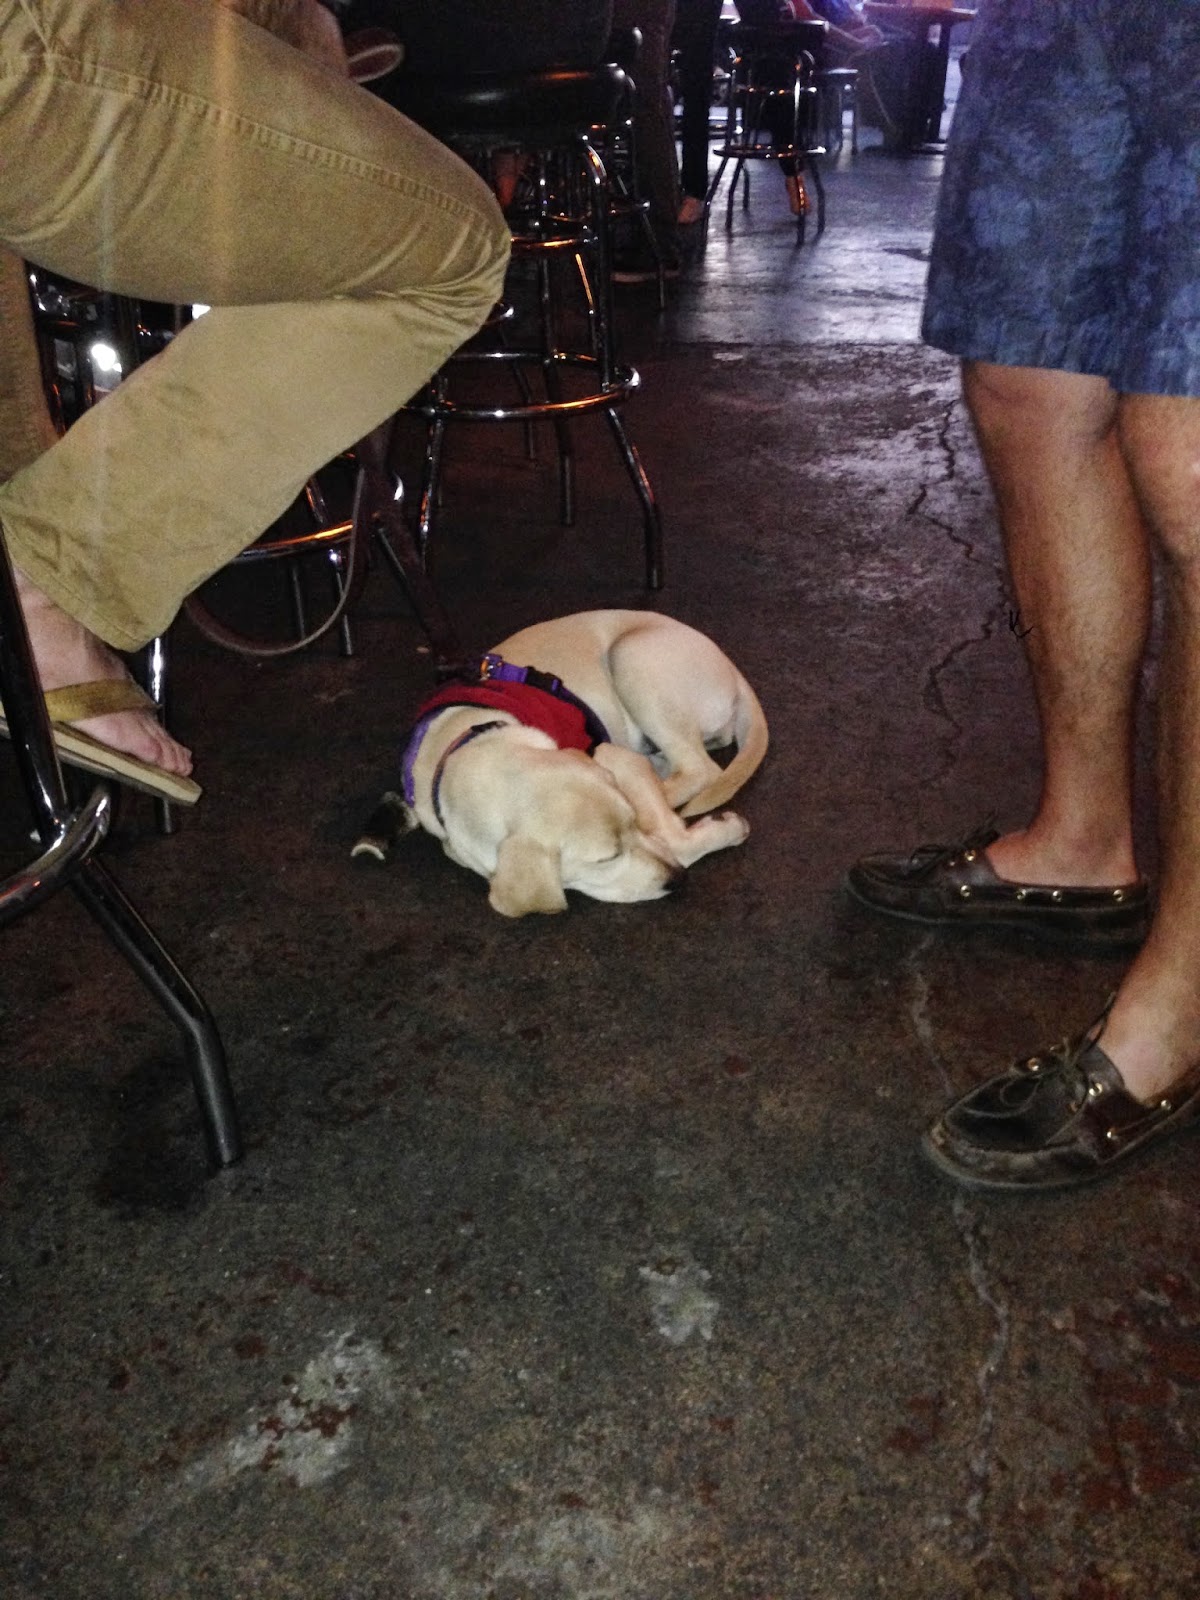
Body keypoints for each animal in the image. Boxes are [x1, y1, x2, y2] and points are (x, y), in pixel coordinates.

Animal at [361, 610, 768, 917]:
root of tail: (733, 670)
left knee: (701, 769)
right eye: (605, 859)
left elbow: (670, 836)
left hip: (632, 660)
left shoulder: (611, 756)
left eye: (631, 825)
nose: (678, 879)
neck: (468, 742)